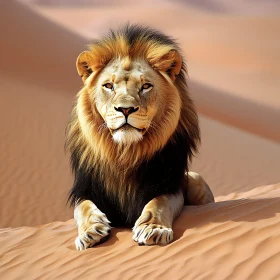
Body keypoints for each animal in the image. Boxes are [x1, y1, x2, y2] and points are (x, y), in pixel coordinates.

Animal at [66, 25, 214, 250]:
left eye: (146, 86)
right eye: (108, 86)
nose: (125, 109)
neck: (125, 152)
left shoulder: (168, 185)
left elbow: (158, 203)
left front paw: (153, 228)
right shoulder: (85, 188)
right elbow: (83, 208)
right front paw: (91, 231)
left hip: (196, 179)